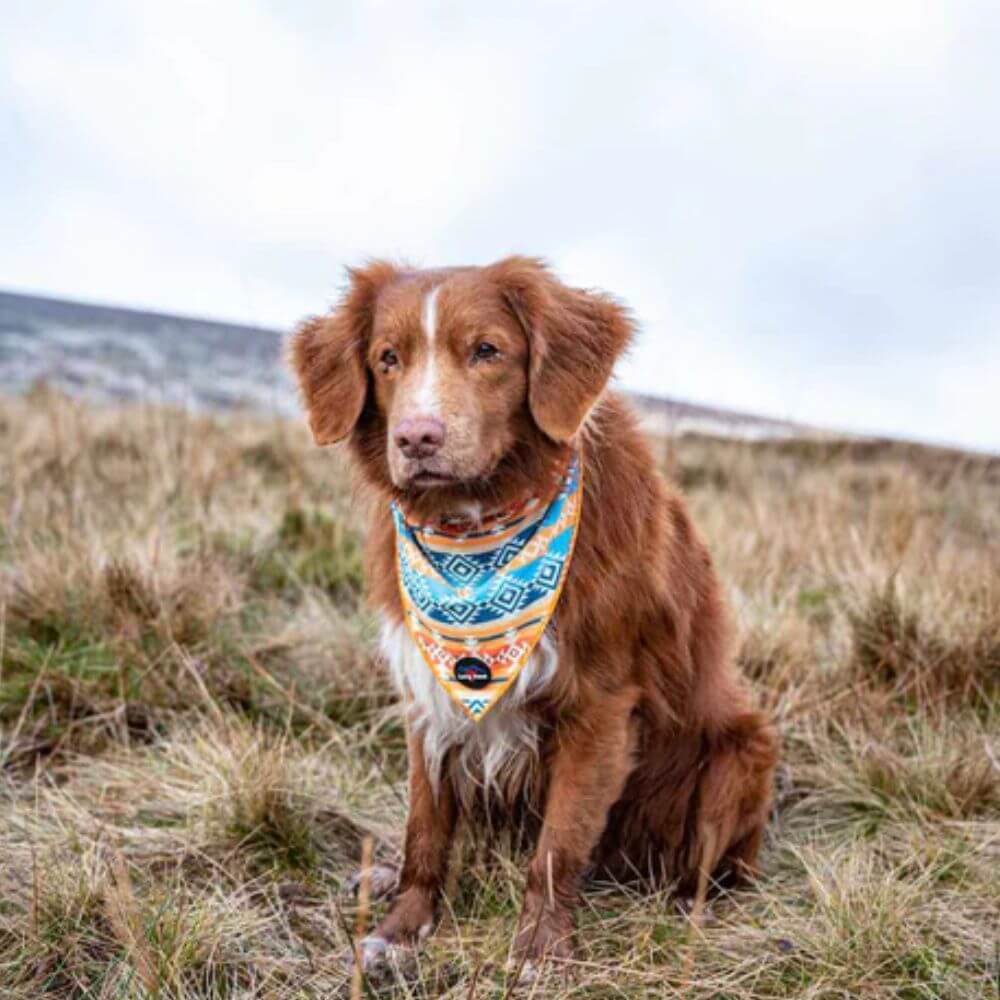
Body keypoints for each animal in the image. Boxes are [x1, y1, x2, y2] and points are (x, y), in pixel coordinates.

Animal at [290, 258, 780, 968]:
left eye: (487, 351)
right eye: (387, 359)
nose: (415, 437)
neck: (478, 529)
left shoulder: (600, 704)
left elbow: (559, 843)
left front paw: (539, 949)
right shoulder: (427, 695)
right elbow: (425, 827)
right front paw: (401, 926)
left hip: (740, 754)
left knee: (708, 867)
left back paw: (691, 909)